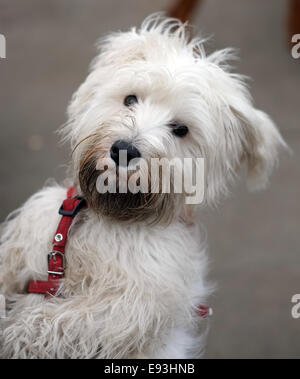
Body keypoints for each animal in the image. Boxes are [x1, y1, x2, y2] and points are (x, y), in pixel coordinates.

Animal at [0, 15, 284, 360]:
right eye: (131, 99)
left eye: (181, 129)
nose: (123, 149)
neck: (109, 214)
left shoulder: (135, 304)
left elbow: (63, 318)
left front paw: (17, 328)